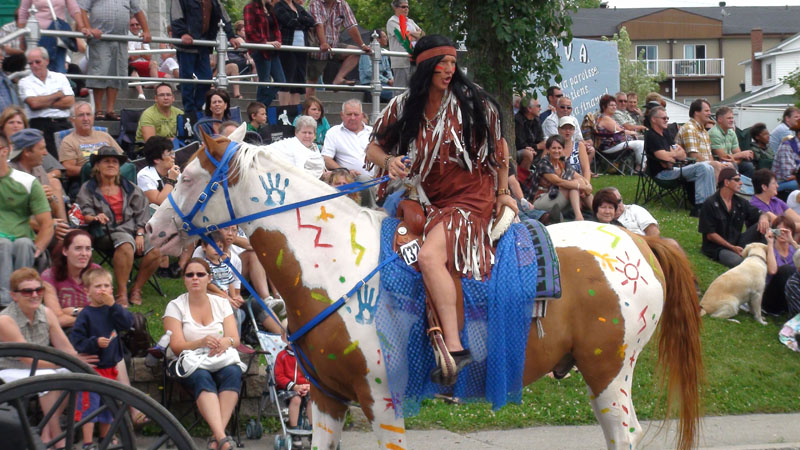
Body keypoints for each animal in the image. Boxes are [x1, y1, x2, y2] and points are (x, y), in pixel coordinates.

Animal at [147, 126, 704, 450]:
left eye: (191, 178)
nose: (153, 230)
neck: (332, 263)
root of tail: (637, 239)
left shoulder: (381, 400)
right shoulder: (326, 398)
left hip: (610, 369)